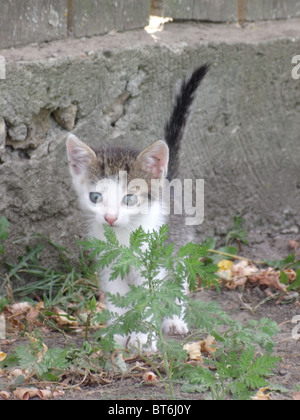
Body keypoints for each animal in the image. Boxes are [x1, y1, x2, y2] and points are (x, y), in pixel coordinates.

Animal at [67, 63, 210, 352]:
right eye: (95, 197)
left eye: (130, 199)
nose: (110, 218)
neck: (123, 236)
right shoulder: (108, 266)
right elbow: (117, 301)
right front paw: (117, 335)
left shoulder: (151, 263)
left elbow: (149, 298)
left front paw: (143, 339)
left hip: (177, 247)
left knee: (177, 282)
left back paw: (174, 320)